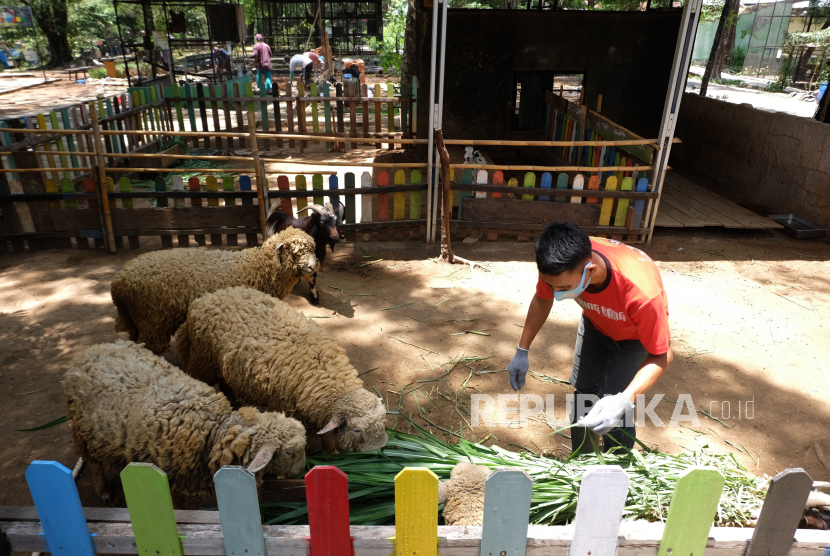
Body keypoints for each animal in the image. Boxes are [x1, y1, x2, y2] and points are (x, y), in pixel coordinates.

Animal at [62, 340, 308, 502]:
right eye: (290, 452)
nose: (303, 468)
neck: (215, 431)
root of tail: (91, 350)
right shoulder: (168, 476)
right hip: (83, 431)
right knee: (93, 461)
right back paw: (103, 491)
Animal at [111, 227, 318, 354]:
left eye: (312, 249)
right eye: (295, 252)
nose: (313, 267)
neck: (259, 267)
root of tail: (118, 283)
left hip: (137, 320)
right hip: (152, 321)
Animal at [174, 284, 388, 454]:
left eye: (383, 419)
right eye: (356, 430)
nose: (380, 447)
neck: (326, 375)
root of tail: (206, 297)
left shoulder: (323, 414)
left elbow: (327, 436)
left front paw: (332, 453)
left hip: (222, 363)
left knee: (226, 380)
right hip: (203, 361)